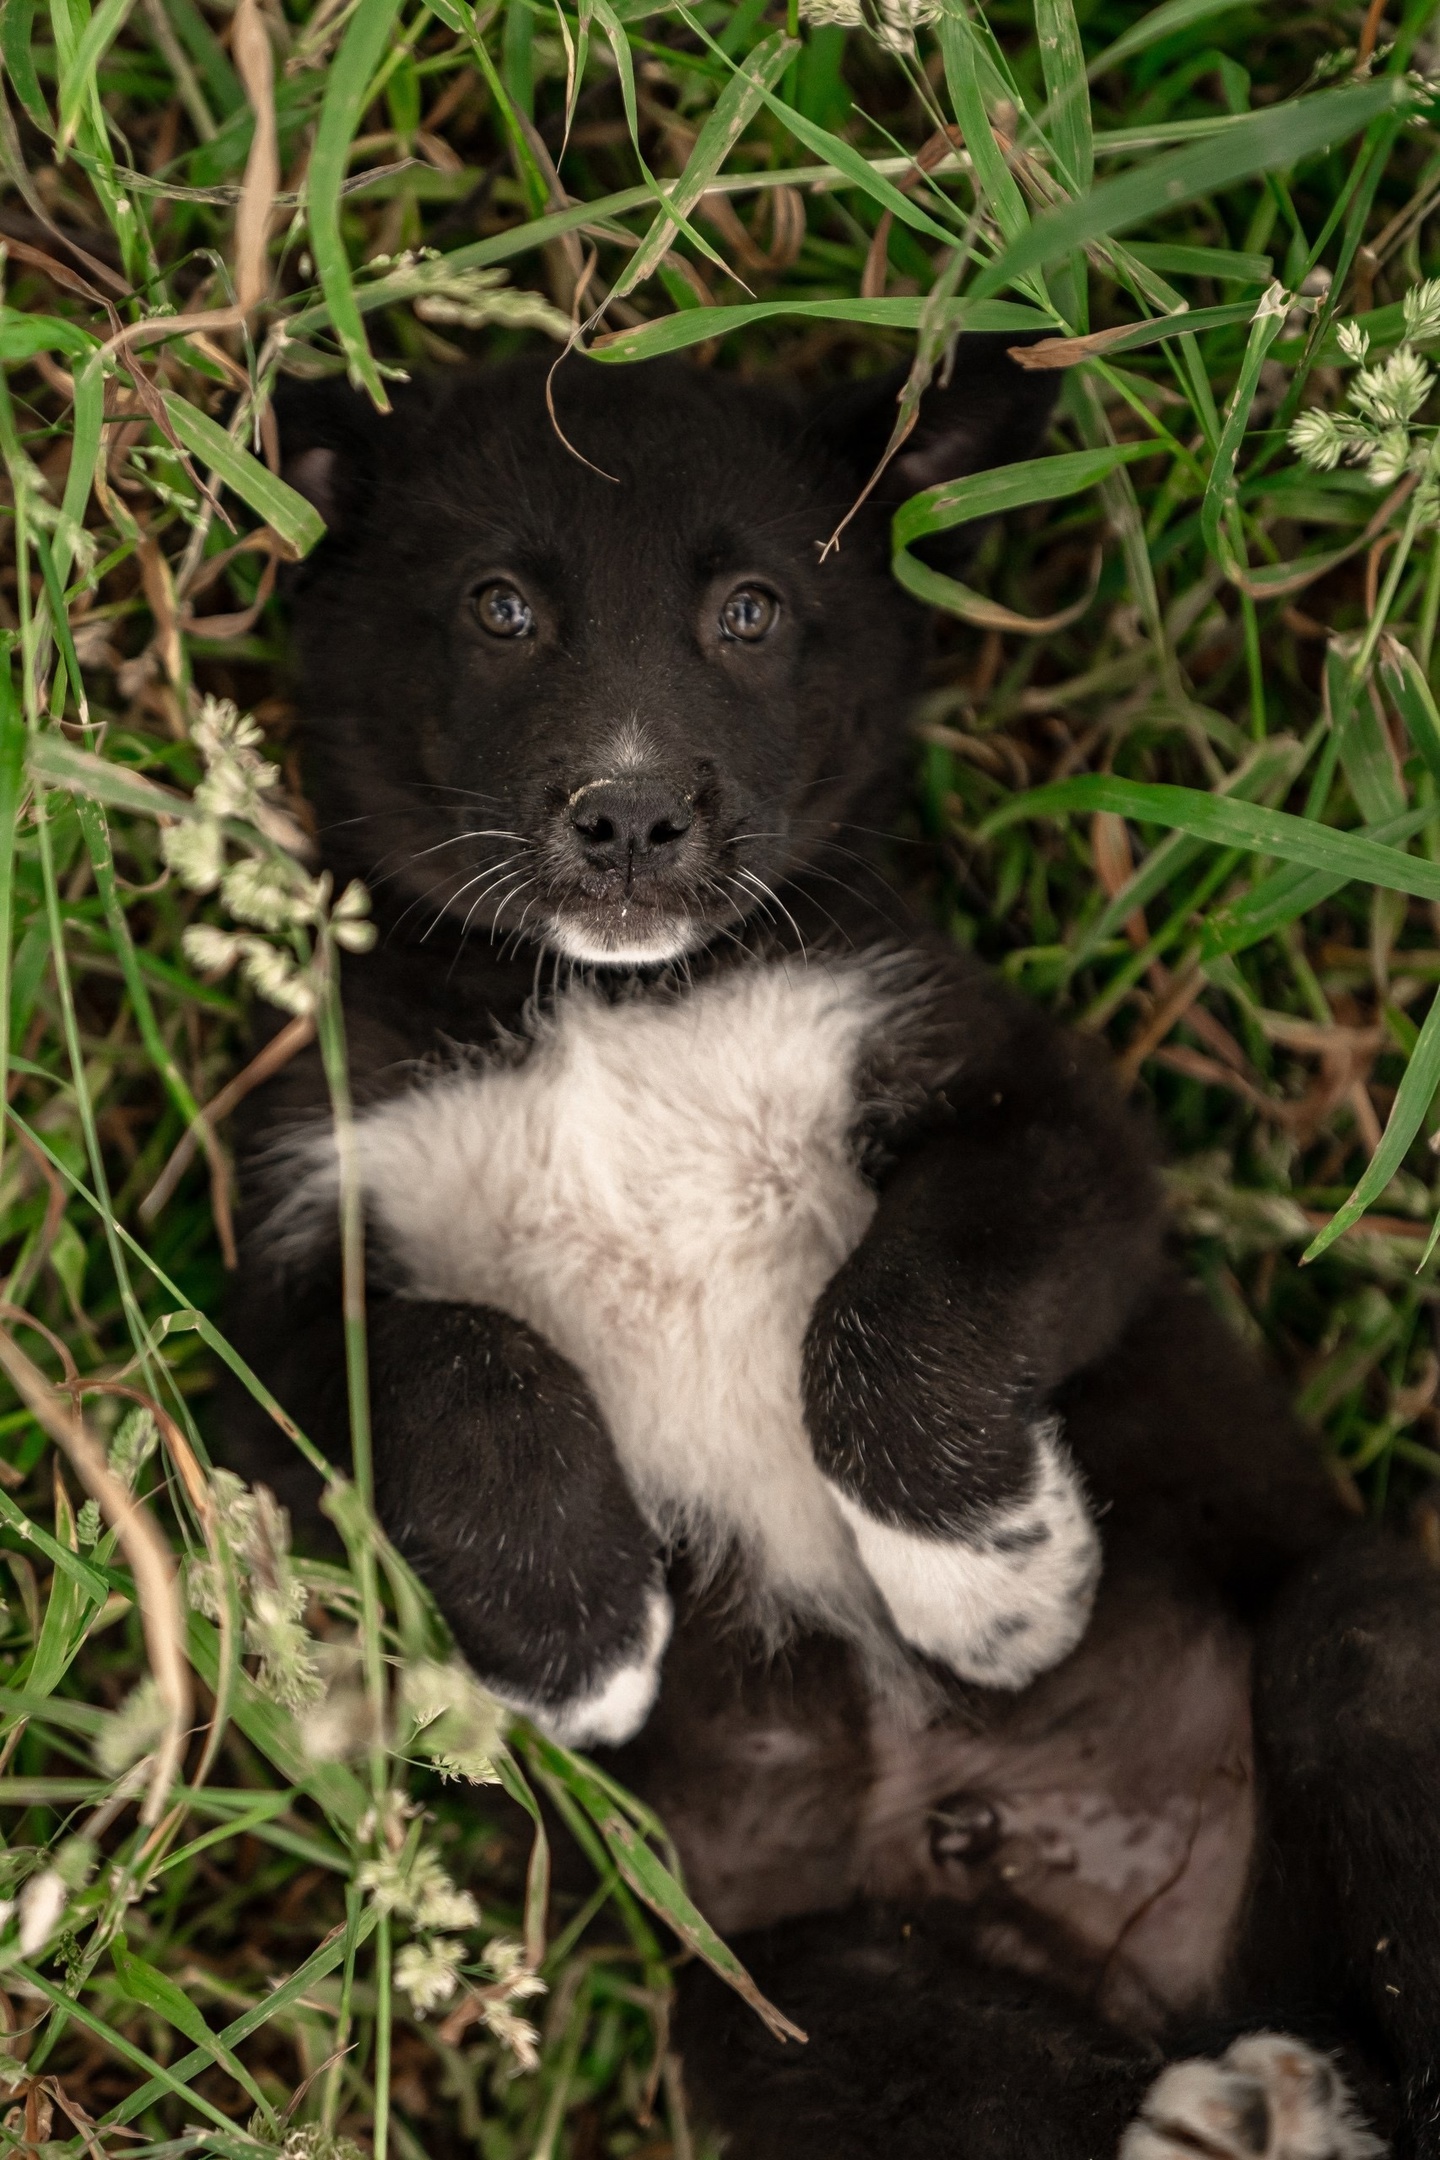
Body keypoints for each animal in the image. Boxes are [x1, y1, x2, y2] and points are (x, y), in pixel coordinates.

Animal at [231, 345, 1440, 2151]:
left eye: (750, 610)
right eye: (501, 607)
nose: (630, 817)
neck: (612, 1004)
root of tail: (1198, 1984)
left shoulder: (1039, 1113)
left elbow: (895, 1311)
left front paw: (992, 1588)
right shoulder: (271, 1299)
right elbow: (459, 1354)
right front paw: (581, 1638)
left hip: (1374, 1637)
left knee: (1362, 1668)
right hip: (793, 2006)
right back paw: (1229, 2116)